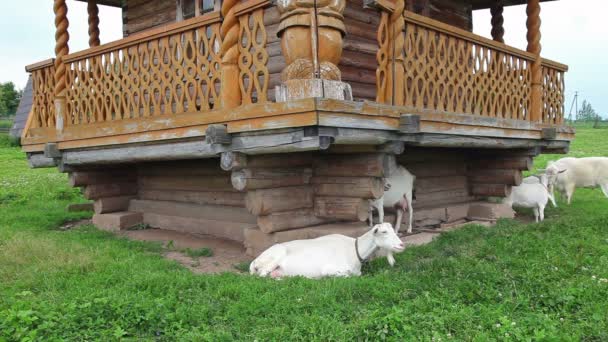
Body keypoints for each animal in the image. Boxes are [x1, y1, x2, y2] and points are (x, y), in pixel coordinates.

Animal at [249, 223, 406, 280]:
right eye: (384, 232)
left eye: (393, 230)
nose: (401, 245)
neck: (354, 250)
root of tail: (254, 261)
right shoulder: (330, 269)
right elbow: (349, 276)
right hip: (274, 258)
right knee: (261, 276)